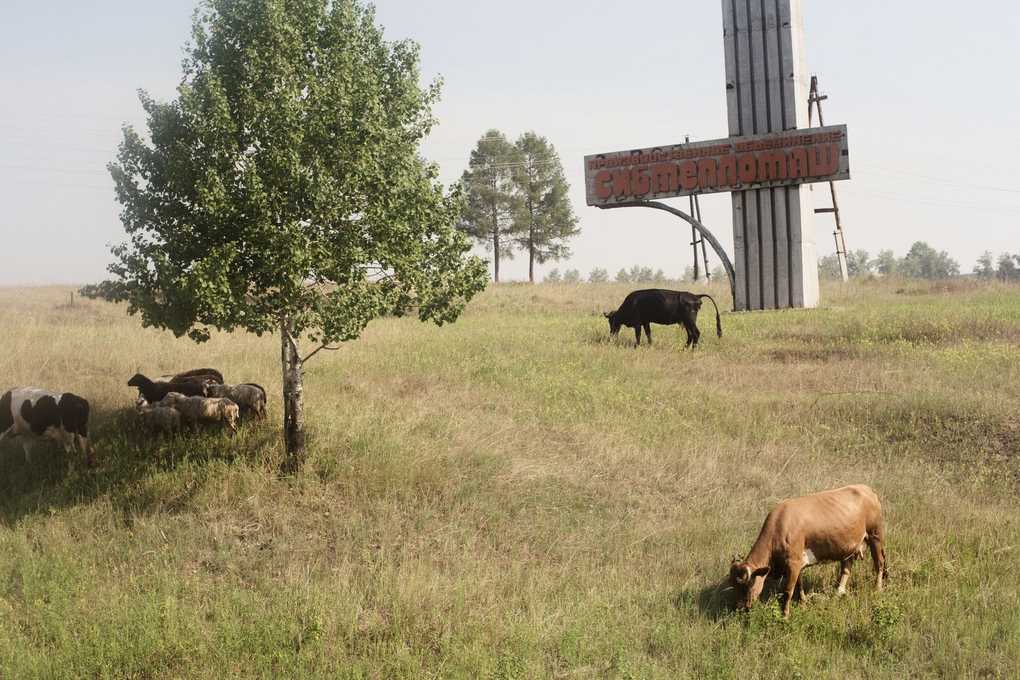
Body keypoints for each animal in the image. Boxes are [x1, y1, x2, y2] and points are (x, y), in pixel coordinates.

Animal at [728, 484, 888, 618]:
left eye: (747, 585)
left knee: (879, 563)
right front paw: (803, 603)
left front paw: (785, 615)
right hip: (849, 544)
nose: (739, 608)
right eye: (734, 585)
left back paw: (878, 589)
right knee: (846, 568)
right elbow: (799, 585)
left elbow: (788, 590)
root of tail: (867, 489)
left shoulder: (793, 562)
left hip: (875, 535)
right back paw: (839, 592)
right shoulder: (797, 562)